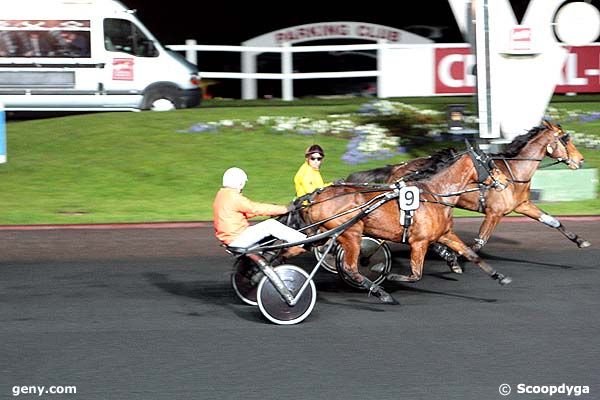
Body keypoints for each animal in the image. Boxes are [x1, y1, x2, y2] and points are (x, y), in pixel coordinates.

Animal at [308, 144, 508, 304]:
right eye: (490, 164)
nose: (506, 181)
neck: (435, 194)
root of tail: (317, 197)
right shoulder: (419, 242)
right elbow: (416, 274)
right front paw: (383, 271)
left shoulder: (445, 234)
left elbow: (471, 254)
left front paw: (500, 277)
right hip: (350, 233)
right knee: (350, 267)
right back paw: (382, 293)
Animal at [350, 119, 588, 268]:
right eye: (566, 139)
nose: (581, 160)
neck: (512, 173)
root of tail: (397, 168)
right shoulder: (494, 213)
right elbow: (479, 242)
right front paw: (455, 257)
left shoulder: (522, 205)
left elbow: (552, 221)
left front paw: (580, 241)